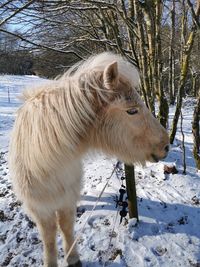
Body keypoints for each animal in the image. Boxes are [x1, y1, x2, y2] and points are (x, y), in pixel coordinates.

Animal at [9, 51, 169, 266]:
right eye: (132, 110)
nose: (165, 146)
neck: (47, 165)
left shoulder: (67, 199)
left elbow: (66, 227)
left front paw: (73, 258)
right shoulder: (40, 209)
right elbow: (49, 237)